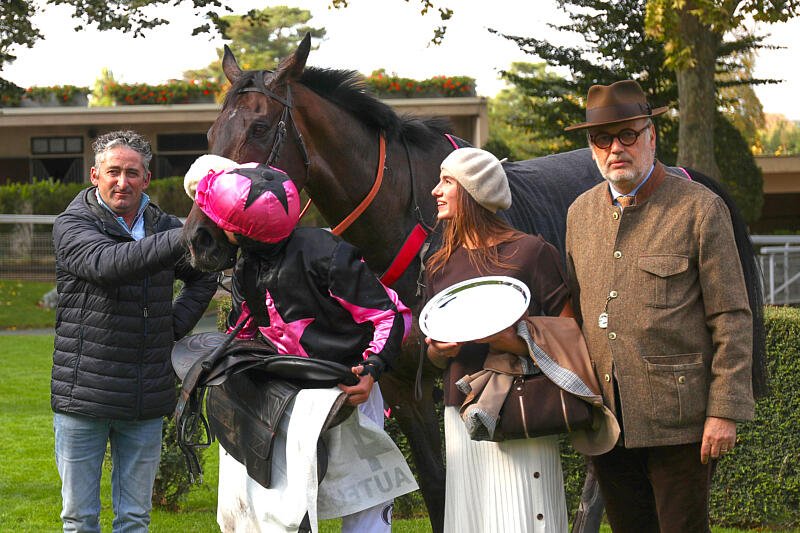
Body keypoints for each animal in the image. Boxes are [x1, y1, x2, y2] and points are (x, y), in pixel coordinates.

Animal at [182, 33, 767, 532]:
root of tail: (690, 176)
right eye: (210, 134)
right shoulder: (405, 389)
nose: (200, 238)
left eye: (259, 130)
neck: (416, 219)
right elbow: (437, 489)